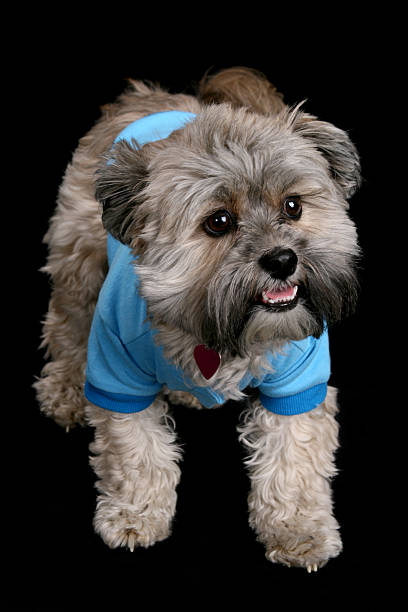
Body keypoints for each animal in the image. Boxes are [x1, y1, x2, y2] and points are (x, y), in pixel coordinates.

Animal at [35, 68, 360, 572]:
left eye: (292, 206)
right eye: (219, 221)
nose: (283, 260)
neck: (217, 331)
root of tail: (151, 96)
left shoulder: (300, 378)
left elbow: (294, 458)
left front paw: (298, 529)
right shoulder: (116, 367)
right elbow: (135, 452)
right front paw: (135, 515)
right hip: (79, 259)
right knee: (67, 320)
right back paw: (66, 387)